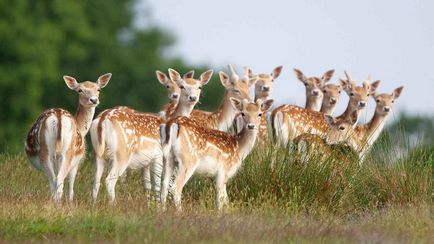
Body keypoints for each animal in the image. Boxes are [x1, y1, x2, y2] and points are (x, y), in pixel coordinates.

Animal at [24, 73, 111, 203]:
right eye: (80, 90)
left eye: (98, 89)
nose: (93, 100)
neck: (81, 128)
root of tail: (58, 118)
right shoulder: (77, 162)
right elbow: (71, 186)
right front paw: (70, 202)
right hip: (66, 152)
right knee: (58, 180)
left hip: (48, 153)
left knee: (54, 181)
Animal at [90, 67, 212, 203]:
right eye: (182, 86)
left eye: (199, 87)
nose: (193, 97)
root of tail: (102, 120)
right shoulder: (159, 156)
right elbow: (158, 185)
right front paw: (158, 205)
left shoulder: (146, 163)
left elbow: (148, 185)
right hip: (122, 153)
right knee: (109, 181)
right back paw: (114, 204)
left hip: (98, 154)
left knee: (96, 181)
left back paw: (94, 204)